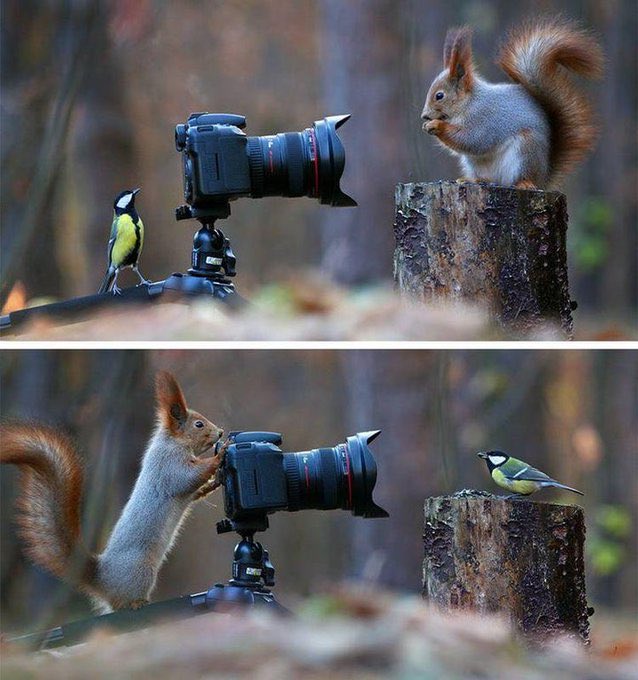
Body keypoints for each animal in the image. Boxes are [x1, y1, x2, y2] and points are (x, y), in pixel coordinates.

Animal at [0, 371, 228, 613]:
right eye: (199, 424)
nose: (221, 432)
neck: (173, 441)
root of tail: (103, 580)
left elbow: (194, 492)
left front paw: (213, 483)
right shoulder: (167, 465)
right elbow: (186, 478)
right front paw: (219, 455)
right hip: (142, 571)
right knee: (122, 603)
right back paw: (137, 603)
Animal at [421, 17, 604, 189]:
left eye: (439, 96)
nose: (424, 116)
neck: (469, 103)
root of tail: (543, 177)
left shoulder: (485, 118)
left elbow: (473, 139)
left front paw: (437, 125)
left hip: (526, 150)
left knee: (521, 177)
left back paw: (524, 183)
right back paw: (473, 179)